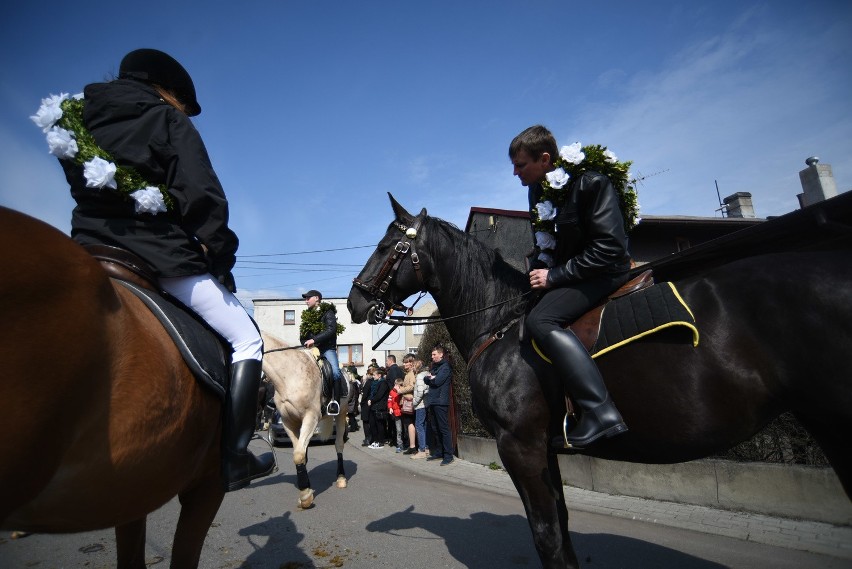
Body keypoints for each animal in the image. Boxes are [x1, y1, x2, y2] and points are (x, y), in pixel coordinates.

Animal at [262, 330, 350, 508]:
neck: (289, 376)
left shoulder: (311, 417)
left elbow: (298, 454)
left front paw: (305, 497)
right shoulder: (289, 422)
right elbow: (300, 453)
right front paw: (306, 488)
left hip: (341, 414)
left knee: (339, 445)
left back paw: (341, 478)